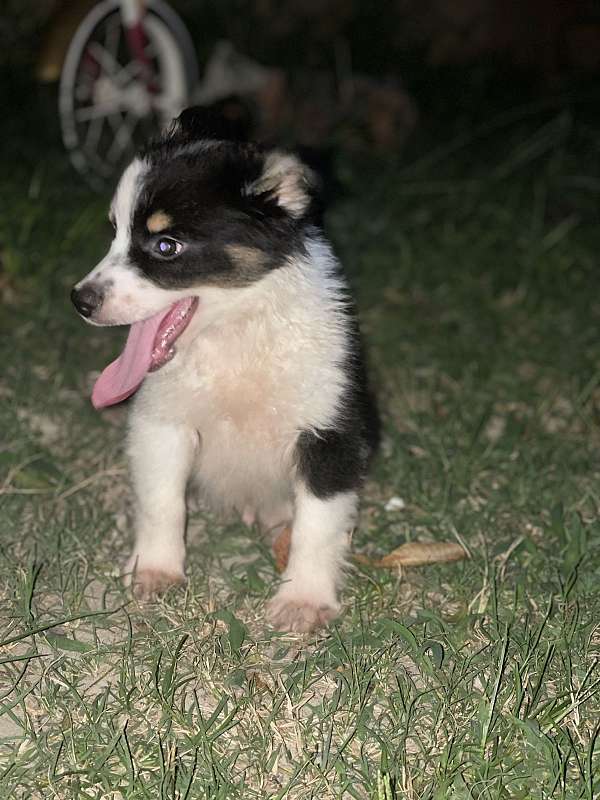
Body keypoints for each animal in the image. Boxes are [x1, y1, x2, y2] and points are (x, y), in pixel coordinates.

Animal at [70, 108, 378, 632]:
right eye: (114, 231)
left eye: (166, 246)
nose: (81, 301)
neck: (235, 332)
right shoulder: (162, 422)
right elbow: (162, 501)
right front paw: (156, 570)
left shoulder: (329, 432)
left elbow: (318, 524)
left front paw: (304, 599)